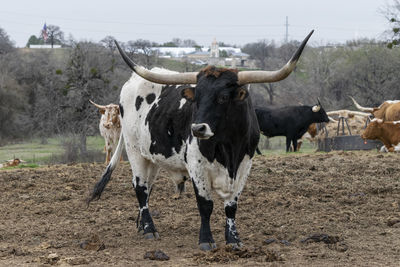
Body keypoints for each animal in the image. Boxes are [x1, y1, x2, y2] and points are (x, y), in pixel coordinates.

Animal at [88, 30, 316, 251]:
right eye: (196, 98)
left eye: (223, 97)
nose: (197, 128)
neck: (228, 148)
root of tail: (130, 84)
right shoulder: (197, 166)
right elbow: (205, 205)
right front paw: (206, 240)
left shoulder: (244, 166)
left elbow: (231, 206)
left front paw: (233, 240)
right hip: (134, 150)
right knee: (140, 188)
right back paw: (149, 229)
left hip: (151, 156)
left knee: (148, 186)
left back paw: (141, 224)